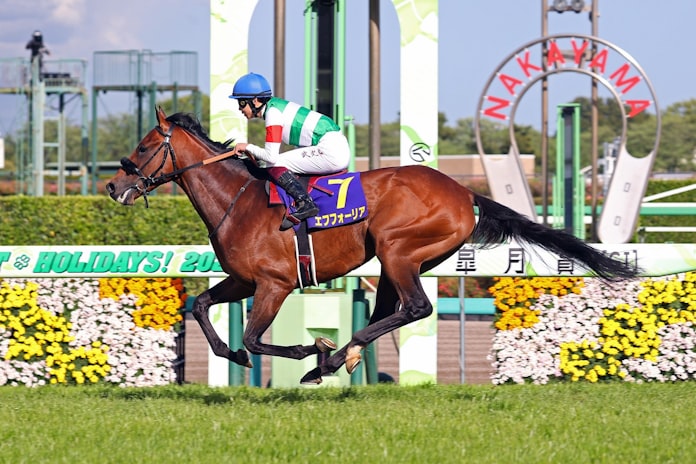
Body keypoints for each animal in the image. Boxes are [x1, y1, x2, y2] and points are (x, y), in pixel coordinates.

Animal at [106, 107, 639, 385]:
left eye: (143, 147)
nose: (113, 186)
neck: (239, 202)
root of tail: (463, 192)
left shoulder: (274, 283)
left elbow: (256, 337)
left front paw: (308, 349)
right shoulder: (243, 280)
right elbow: (200, 306)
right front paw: (234, 357)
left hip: (398, 249)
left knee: (417, 307)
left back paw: (331, 358)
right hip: (395, 258)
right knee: (392, 309)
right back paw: (343, 357)